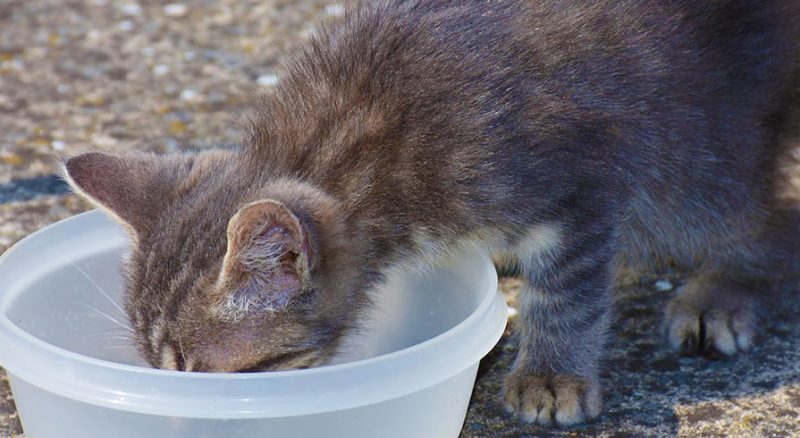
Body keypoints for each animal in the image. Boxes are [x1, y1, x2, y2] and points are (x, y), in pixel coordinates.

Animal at [65, 0, 796, 424]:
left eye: (206, 374)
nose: (177, 412)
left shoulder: (579, 189)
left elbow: (566, 297)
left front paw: (551, 375)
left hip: (693, 151)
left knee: (764, 218)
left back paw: (722, 293)